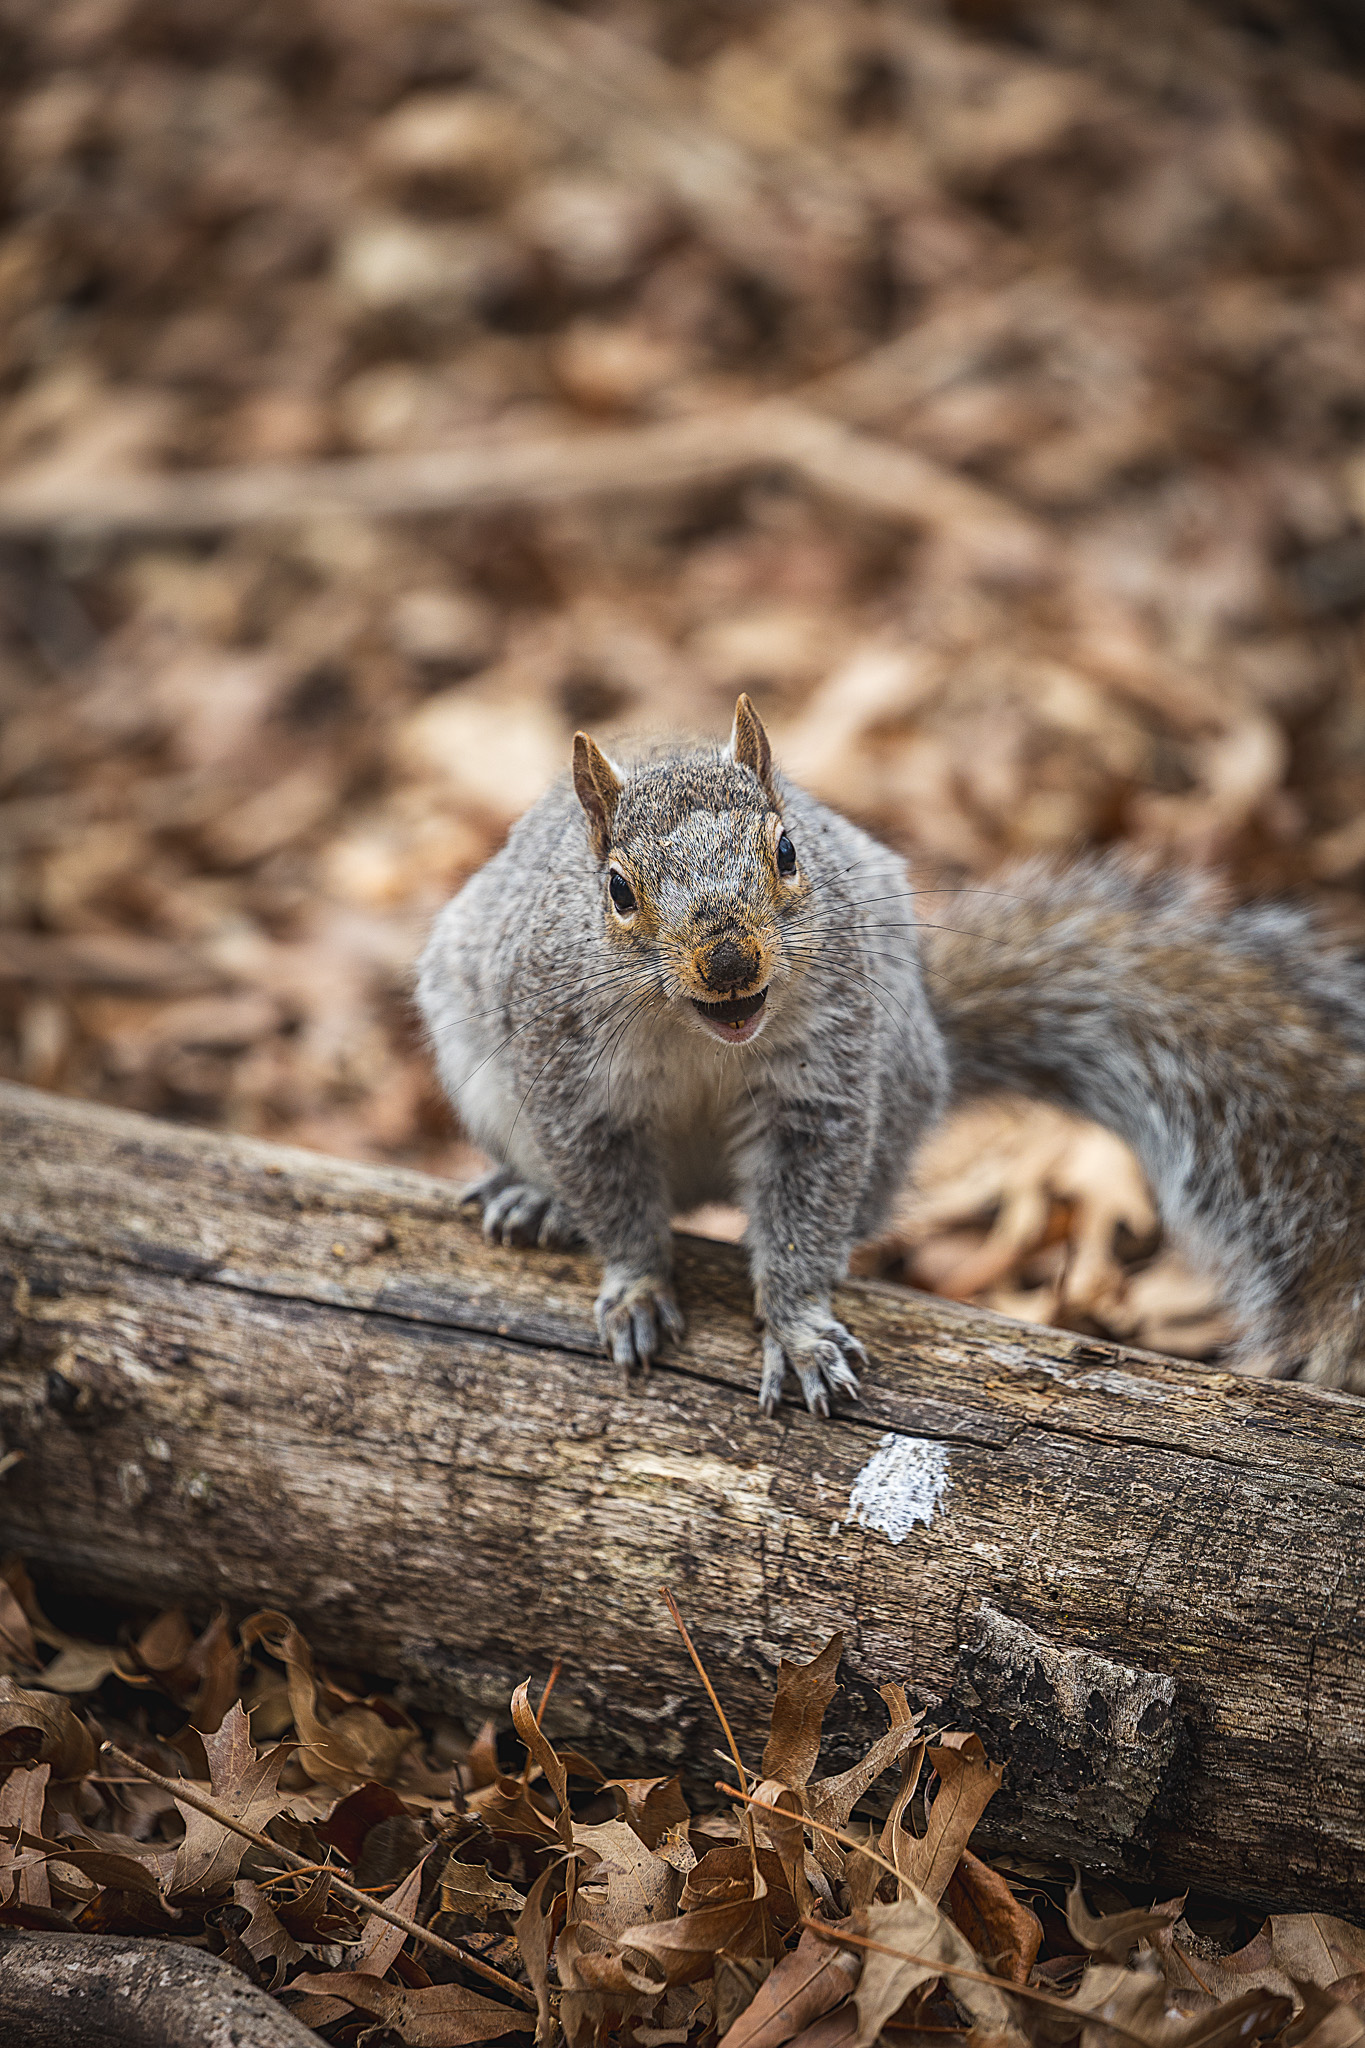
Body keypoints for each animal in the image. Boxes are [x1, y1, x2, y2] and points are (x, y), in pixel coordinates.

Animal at [417, 694, 1365, 1412]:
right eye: (616, 890)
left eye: (787, 850)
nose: (729, 961)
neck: (699, 1034)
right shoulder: (569, 1080)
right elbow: (614, 1204)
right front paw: (639, 1289)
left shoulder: (822, 1077)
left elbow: (801, 1216)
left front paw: (798, 1329)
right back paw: (534, 1199)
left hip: (899, 1069)